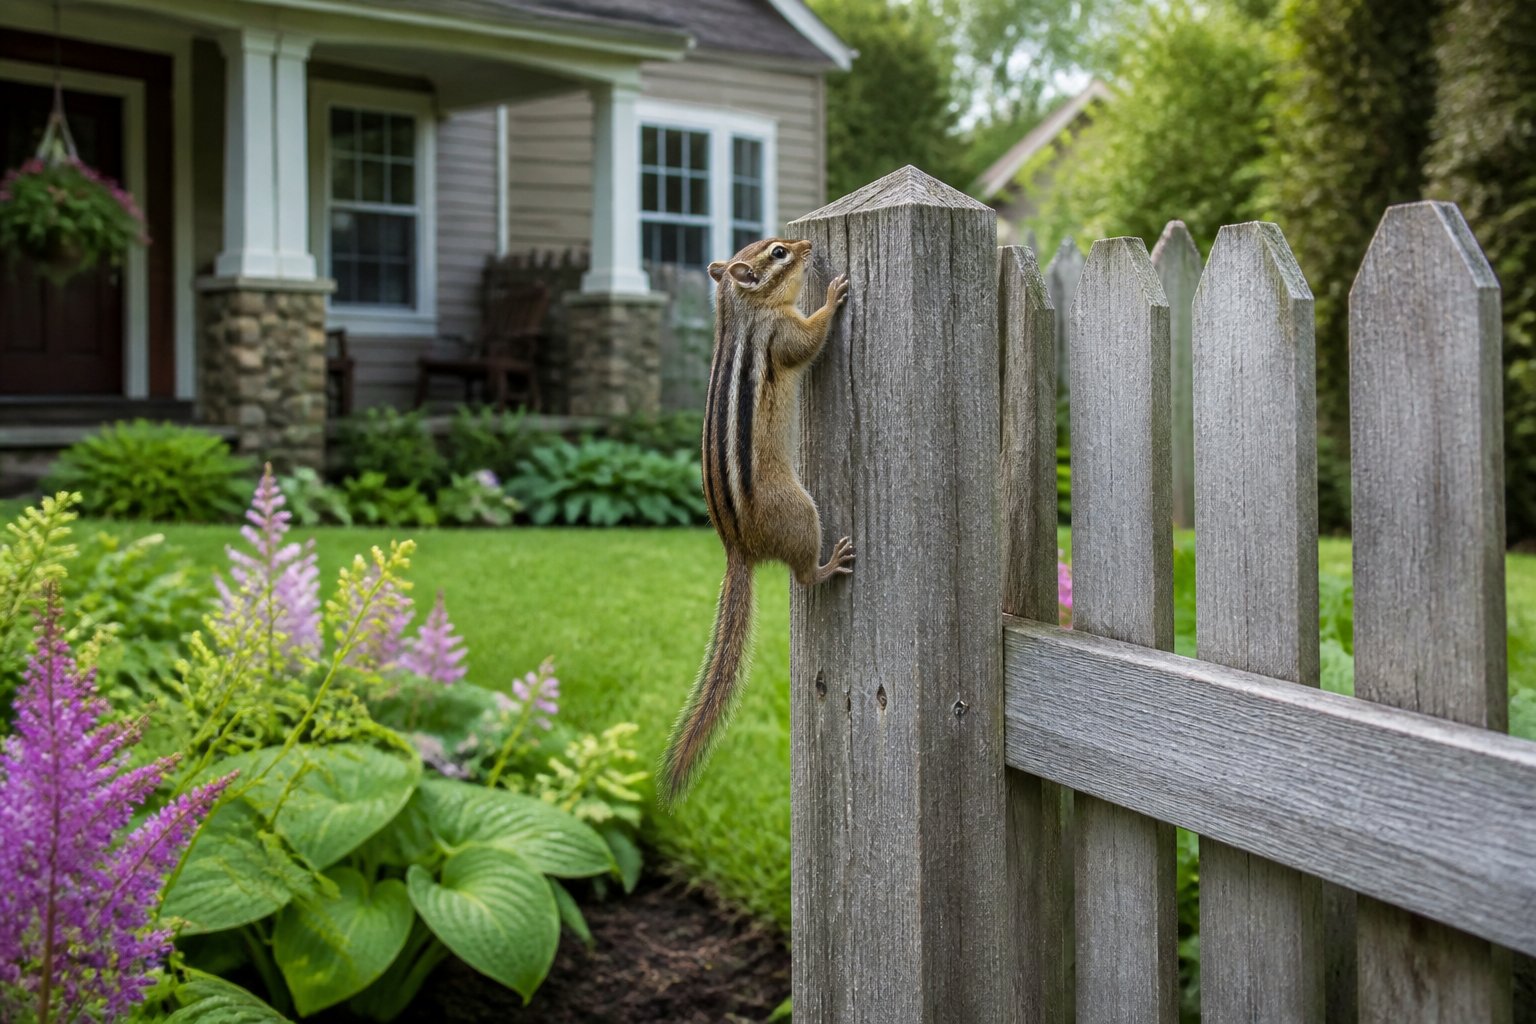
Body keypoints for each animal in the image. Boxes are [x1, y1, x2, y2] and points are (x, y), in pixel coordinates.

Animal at [657, 237, 854, 807]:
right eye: (780, 253)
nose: (808, 246)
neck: (743, 311)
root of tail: (736, 546)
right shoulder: (782, 335)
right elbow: (808, 340)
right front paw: (831, 297)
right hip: (801, 511)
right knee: (804, 575)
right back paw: (830, 563)